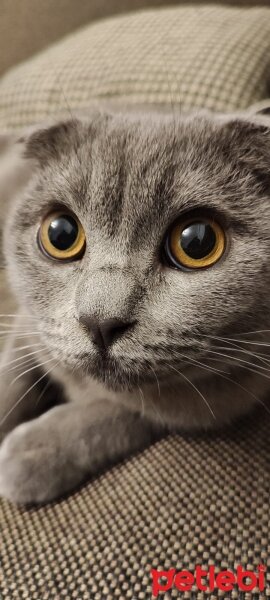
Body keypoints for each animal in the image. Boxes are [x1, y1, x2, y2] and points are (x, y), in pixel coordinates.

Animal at [0, 105, 270, 504]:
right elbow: (11, 376)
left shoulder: (219, 402)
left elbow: (119, 416)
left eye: (197, 243)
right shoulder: (29, 324)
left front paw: (34, 451)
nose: (99, 320)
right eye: (61, 234)